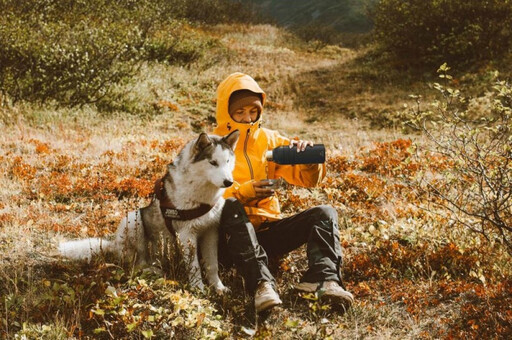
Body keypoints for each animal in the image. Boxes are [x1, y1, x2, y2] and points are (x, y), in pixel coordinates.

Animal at [58, 129, 240, 294]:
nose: (229, 182)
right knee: (135, 264)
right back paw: (151, 270)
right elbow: (194, 266)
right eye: (213, 162)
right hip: (133, 218)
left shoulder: (211, 231)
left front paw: (218, 287)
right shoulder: (187, 234)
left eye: (227, 161)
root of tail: (113, 245)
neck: (203, 195)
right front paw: (199, 289)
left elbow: (212, 265)